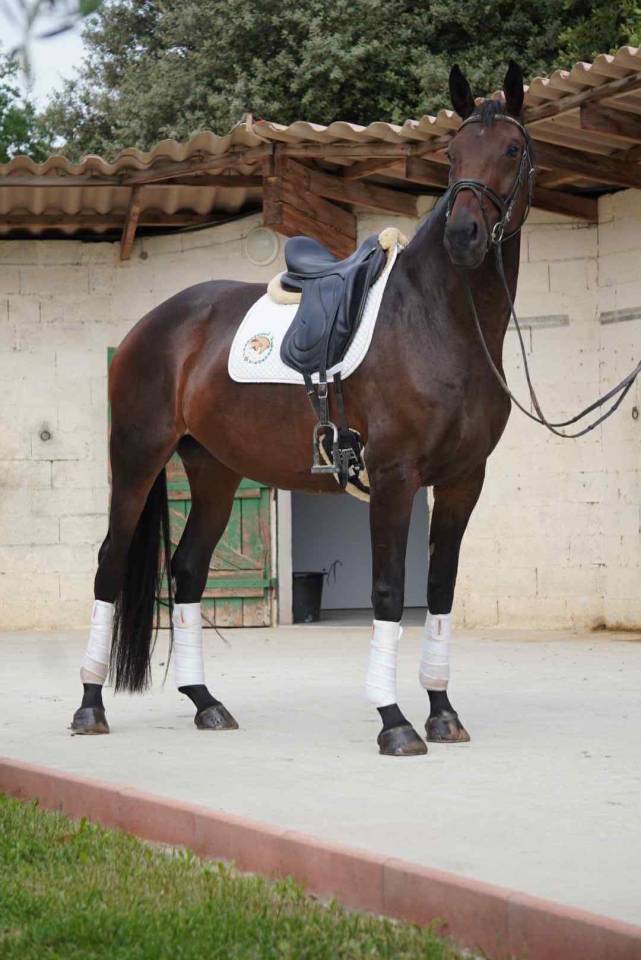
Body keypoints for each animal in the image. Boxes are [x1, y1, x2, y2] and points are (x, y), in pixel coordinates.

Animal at [71, 62, 531, 757]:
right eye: (452, 155)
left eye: (509, 149)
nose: (463, 236)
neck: (438, 320)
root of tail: (149, 326)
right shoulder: (394, 479)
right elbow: (389, 592)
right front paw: (394, 722)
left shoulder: (461, 482)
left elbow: (440, 591)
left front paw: (442, 712)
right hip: (136, 462)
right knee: (109, 565)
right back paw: (90, 706)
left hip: (214, 472)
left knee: (188, 569)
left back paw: (206, 703)